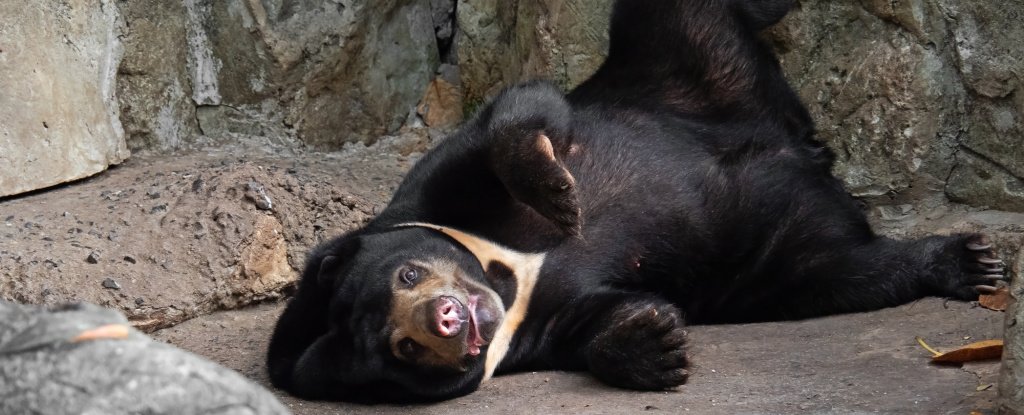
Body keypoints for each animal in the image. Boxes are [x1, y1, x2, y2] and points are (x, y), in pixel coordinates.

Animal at [266, 0, 1007, 403]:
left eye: (409, 273)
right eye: (401, 347)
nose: (448, 318)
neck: (508, 279)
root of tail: (804, 148)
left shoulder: (435, 188)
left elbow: (513, 115)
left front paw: (561, 196)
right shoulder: (537, 329)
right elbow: (598, 319)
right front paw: (655, 343)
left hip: (680, 59)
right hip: (771, 261)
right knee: (844, 272)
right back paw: (967, 262)